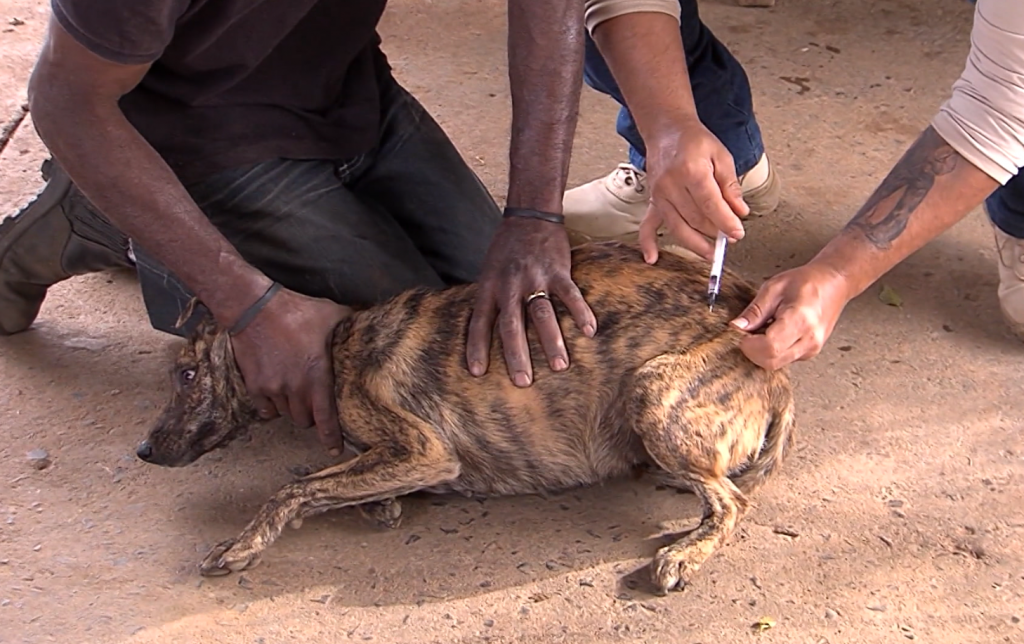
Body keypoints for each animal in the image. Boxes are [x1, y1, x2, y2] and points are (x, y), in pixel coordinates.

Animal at [136, 239, 794, 593]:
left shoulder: (422, 450)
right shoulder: (400, 460)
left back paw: (684, 553)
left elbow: (291, 489)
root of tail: (776, 372)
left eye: (188, 375)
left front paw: (239, 545)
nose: (143, 452)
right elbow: (336, 483)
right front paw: (376, 501)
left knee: (732, 504)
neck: (333, 348)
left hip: (653, 393)